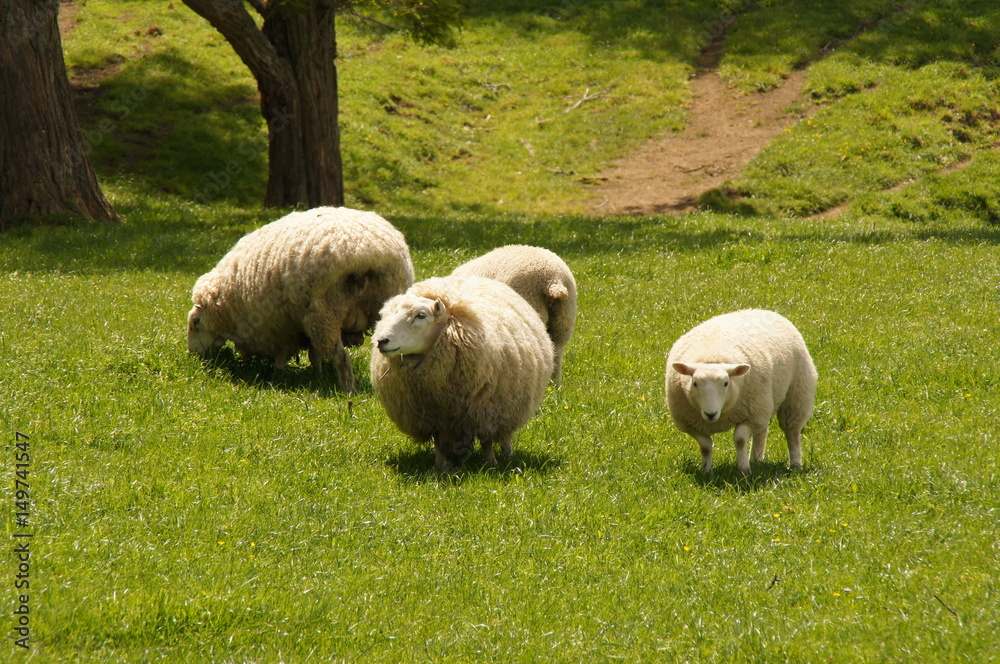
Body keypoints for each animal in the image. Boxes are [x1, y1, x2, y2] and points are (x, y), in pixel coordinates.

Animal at [187, 206, 414, 392]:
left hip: (325, 312)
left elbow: (282, 357)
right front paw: (318, 376)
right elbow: (314, 354)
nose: (194, 356)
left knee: (340, 356)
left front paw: (277, 379)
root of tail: (367, 254)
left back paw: (348, 389)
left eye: (196, 323)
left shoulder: (278, 329)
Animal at [370, 275, 554, 471]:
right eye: (395, 312)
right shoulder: (434, 418)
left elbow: (487, 441)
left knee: (505, 435)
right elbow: (439, 442)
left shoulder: (486, 411)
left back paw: (507, 455)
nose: (382, 341)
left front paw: (491, 464)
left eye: (421, 315)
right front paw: (441, 467)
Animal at [665, 309, 818, 475]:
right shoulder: (690, 423)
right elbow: (705, 446)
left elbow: (740, 439)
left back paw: (795, 465)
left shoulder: (752, 416)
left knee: (792, 432)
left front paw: (744, 469)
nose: (710, 414)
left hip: (795, 395)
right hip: (764, 404)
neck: (712, 357)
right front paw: (706, 471)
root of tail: (764, 310)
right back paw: (757, 459)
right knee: (762, 431)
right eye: (695, 383)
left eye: (726, 383)